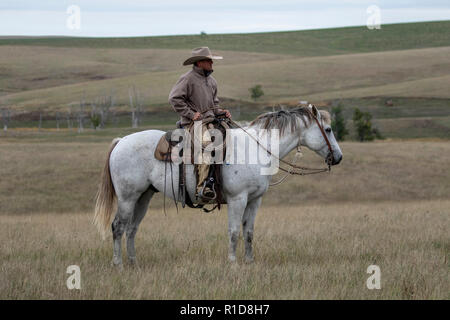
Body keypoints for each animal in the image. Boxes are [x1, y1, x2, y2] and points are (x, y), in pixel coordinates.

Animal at [93, 104, 342, 266]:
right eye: (328, 130)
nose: (338, 157)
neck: (257, 148)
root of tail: (121, 141)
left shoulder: (254, 200)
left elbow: (248, 232)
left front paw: (249, 262)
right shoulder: (237, 198)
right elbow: (233, 231)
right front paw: (232, 263)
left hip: (144, 196)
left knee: (131, 229)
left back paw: (133, 263)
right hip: (127, 198)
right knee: (118, 227)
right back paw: (118, 264)